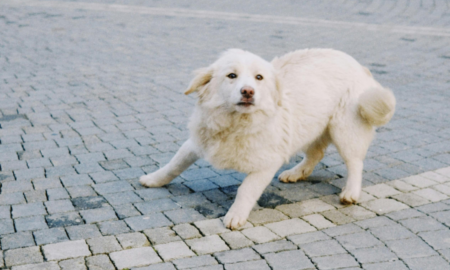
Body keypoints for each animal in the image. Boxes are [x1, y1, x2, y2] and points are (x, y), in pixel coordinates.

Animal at [139, 48, 396, 228]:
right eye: (232, 76)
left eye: (259, 77)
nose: (248, 91)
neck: (235, 124)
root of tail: (358, 65)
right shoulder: (196, 143)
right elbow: (173, 165)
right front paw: (153, 180)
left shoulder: (266, 163)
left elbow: (246, 190)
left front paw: (236, 215)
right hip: (312, 126)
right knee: (316, 153)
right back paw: (296, 173)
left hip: (344, 129)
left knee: (355, 162)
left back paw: (350, 192)